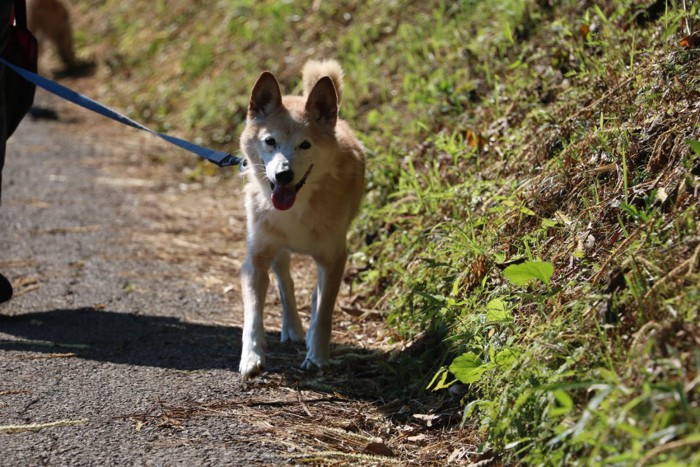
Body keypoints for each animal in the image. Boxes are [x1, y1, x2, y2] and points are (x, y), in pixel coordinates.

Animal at [238, 59, 364, 380]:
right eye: (270, 141)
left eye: (305, 145)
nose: (284, 174)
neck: (296, 208)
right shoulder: (255, 260)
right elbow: (252, 316)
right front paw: (252, 357)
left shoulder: (334, 258)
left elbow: (324, 312)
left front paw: (317, 357)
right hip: (276, 251)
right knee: (286, 282)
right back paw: (292, 327)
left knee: (316, 298)